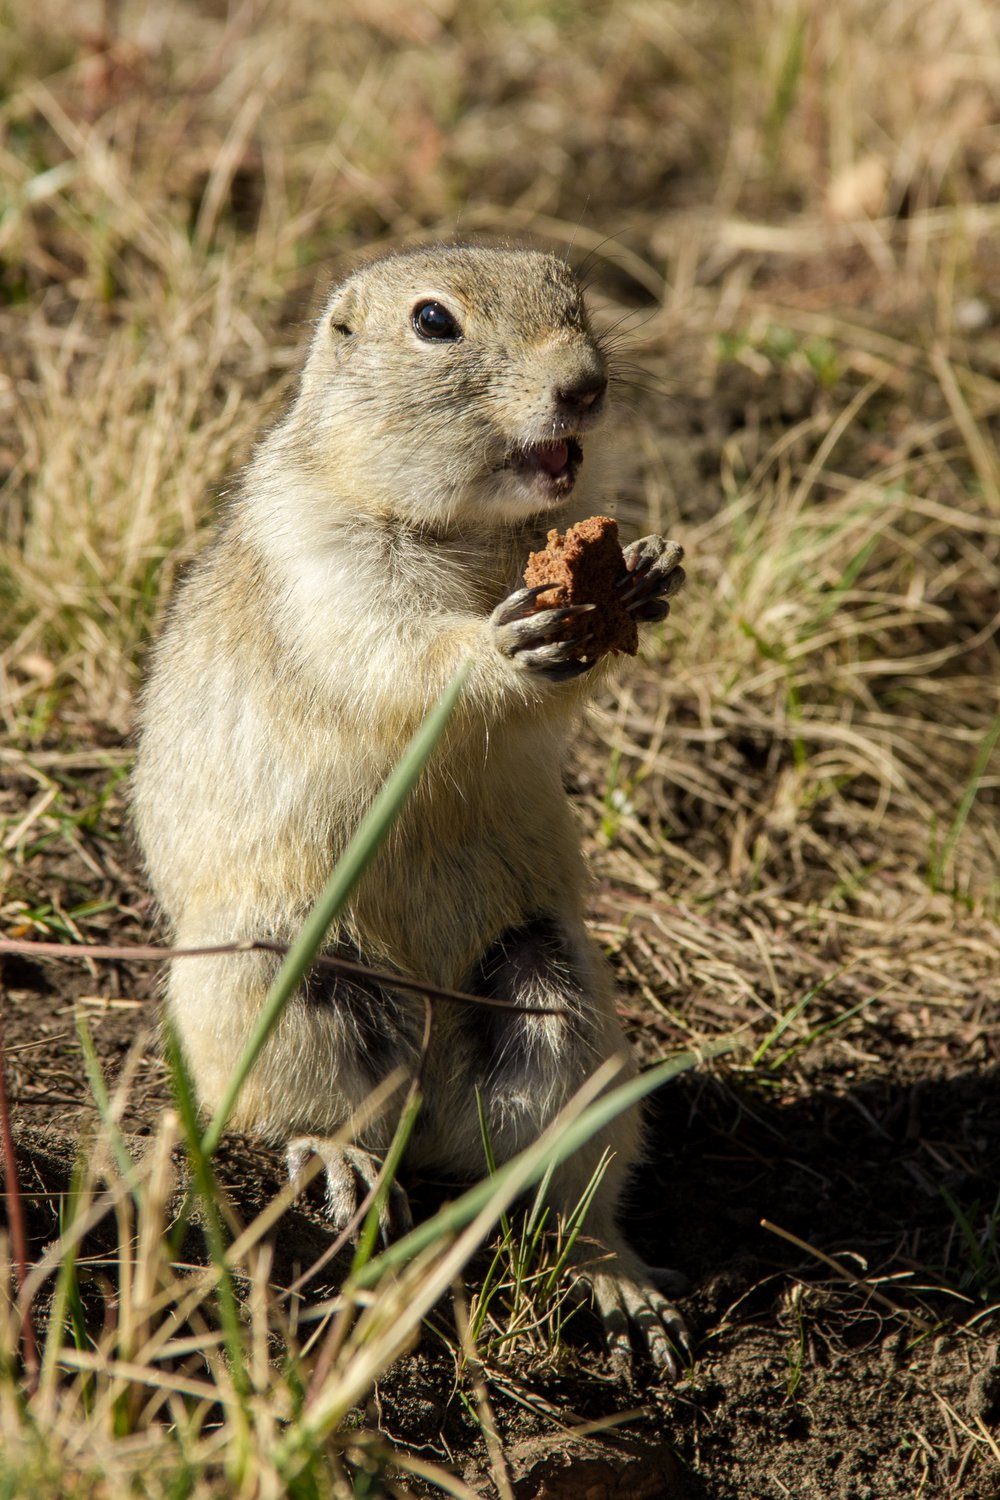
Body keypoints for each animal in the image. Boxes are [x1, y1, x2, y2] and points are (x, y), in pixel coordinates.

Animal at [132, 240, 689, 1374]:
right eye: (434, 321)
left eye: (569, 286)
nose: (585, 384)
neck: (468, 532)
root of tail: (431, 1111)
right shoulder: (330, 570)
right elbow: (404, 658)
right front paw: (511, 639)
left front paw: (646, 572)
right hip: (268, 977)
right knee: (322, 1111)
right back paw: (341, 1163)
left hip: (562, 1007)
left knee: (561, 1185)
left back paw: (623, 1291)